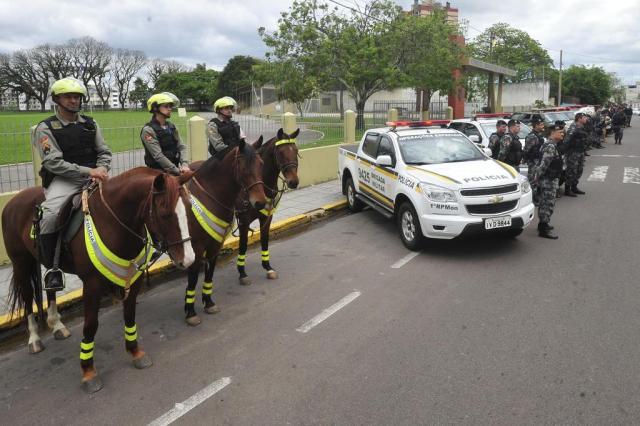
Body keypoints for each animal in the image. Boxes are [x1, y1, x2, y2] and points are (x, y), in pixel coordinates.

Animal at [2, 167, 195, 392]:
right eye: (165, 214)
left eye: (189, 208)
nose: (188, 259)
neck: (113, 221)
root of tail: (13, 201)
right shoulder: (92, 285)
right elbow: (90, 325)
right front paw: (88, 371)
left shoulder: (133, 279)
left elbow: (130, 315)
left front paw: (135, 352)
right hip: (21, 263)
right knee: (26, 297)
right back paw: (33, 338)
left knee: (50, 288)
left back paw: (57, 325)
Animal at [182, 138, 268, 324]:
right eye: (243, 168)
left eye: (261, 164)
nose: (260, 202)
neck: (209, 195)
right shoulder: (196, 247)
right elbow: (193, 277)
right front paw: (190, 311)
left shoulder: (215, 244)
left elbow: (210, 273)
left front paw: (208, 302)